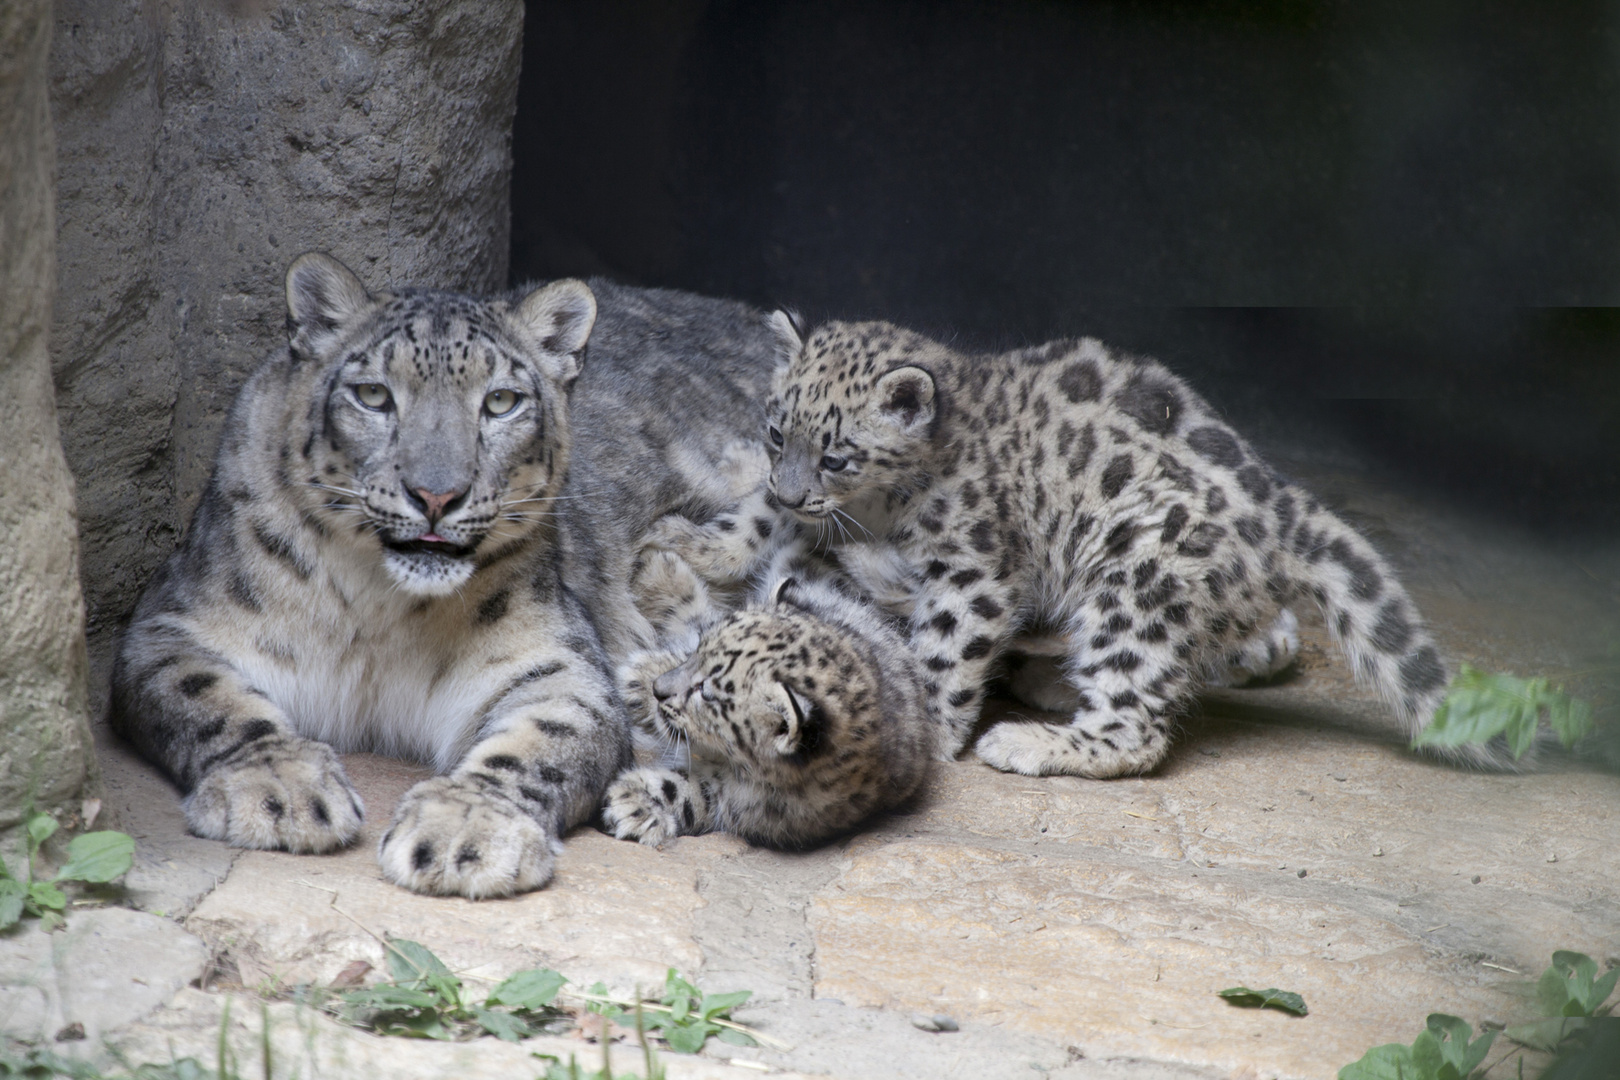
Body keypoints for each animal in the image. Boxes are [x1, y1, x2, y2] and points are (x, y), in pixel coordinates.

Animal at [107, 250, 777, 893]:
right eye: (373, 394)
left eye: (501, 401)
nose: (436, 494)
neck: (376, 606)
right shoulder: (175, 625)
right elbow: (210, 697)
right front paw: (279, 789)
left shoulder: (552, 661)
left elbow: (539, 740)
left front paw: (467, 831)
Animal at [758, 314, 1483, 777]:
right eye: (775, 433)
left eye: (836, 455)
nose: (787, 496)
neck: (877, 513)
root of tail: (1289, 509)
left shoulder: (970, 571)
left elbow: (944, 652)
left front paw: (927, 727)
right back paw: (1045, 680)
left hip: (1140, 582)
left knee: (1138, 722)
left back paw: (1029, 741)